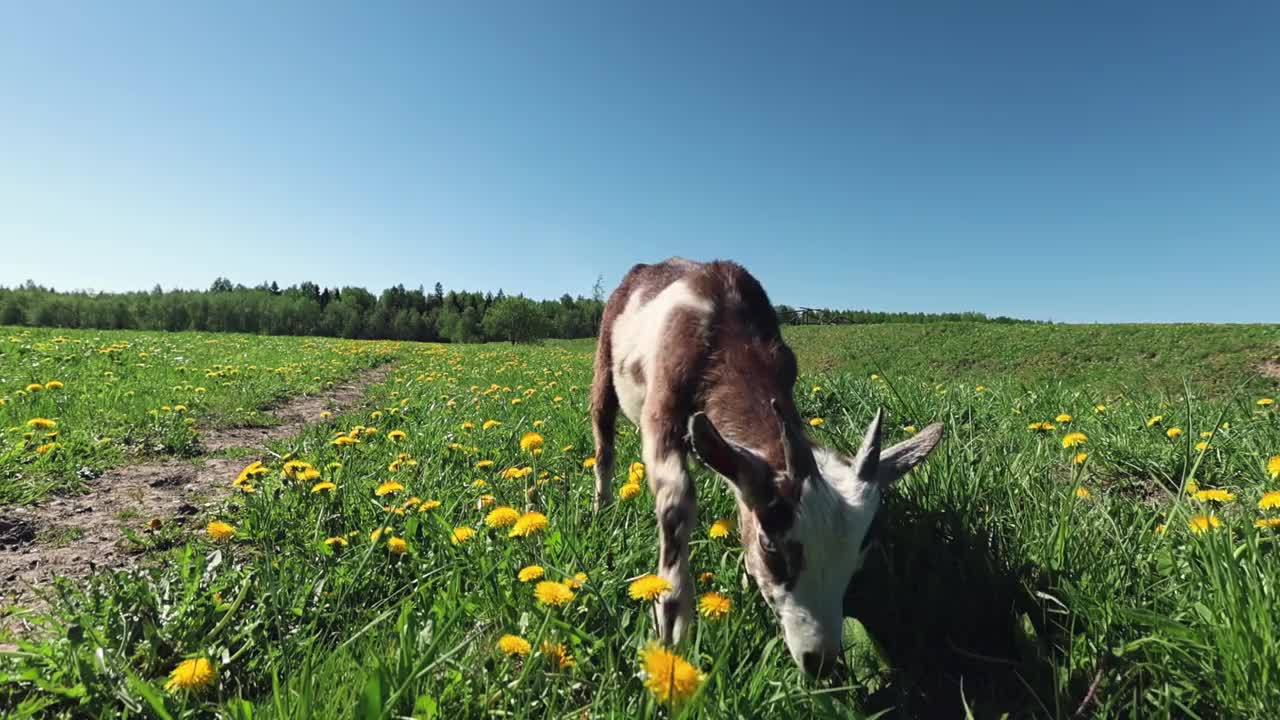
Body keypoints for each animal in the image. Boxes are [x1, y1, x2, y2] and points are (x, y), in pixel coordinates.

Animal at [588, 256, 942, 671]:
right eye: (771, 546)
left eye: (860, 552)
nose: (819, 660)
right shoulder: (660, 412)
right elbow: (677, 504)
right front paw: (671, 628)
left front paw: (744, 583)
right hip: (605, 361)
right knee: (603, 439)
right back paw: (600, 508)